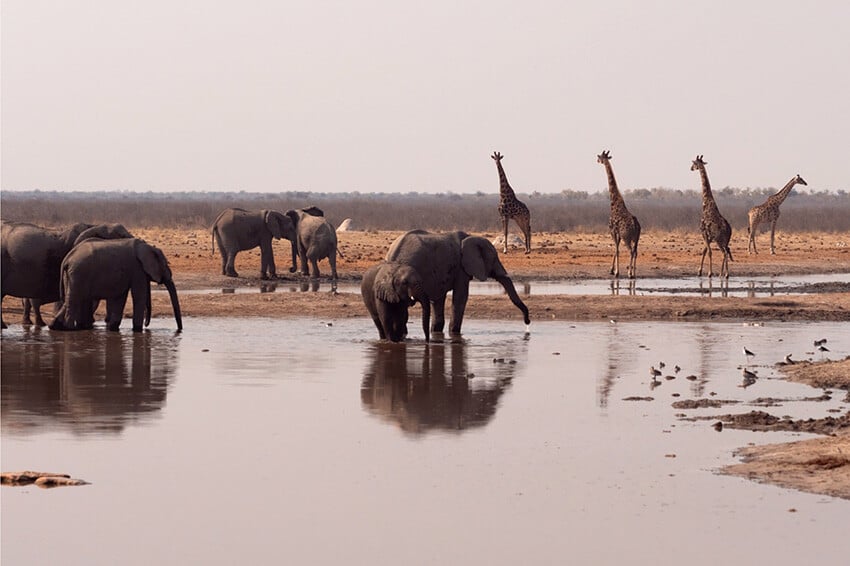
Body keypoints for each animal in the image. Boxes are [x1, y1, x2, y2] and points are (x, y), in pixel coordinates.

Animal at [48, 239, 181, 332]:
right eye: (166, 264)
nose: (179, 331)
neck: (147, 247)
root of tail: (67, 258)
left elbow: (120, 296)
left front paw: (113, 328)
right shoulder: (137, 269)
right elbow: (139, 295)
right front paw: (137, 330)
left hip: (72, 276)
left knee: (70, 298)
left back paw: (56, 327)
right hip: (79, 273)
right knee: (74, 299)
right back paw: (71, 329)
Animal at [386, 232, 528, 338]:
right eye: (494, 259)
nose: (527, 322)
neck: (469, 237)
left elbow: (438, 299)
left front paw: (436, 332)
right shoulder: (461, 269)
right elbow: (461, 297)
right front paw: (454, 334)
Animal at [592, 151, 640, 280]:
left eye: (600, 157)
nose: (597, 161)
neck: (614, 203)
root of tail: (635, 225)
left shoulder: (612, 230)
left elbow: (616, 249)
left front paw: (616, 272)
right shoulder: (617, 233)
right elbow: (616, 249)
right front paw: (612, 270)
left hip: (626, 237)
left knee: (631, 251)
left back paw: (630, 274)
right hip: (636, 238)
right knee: (635, 251)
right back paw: (634, 273)